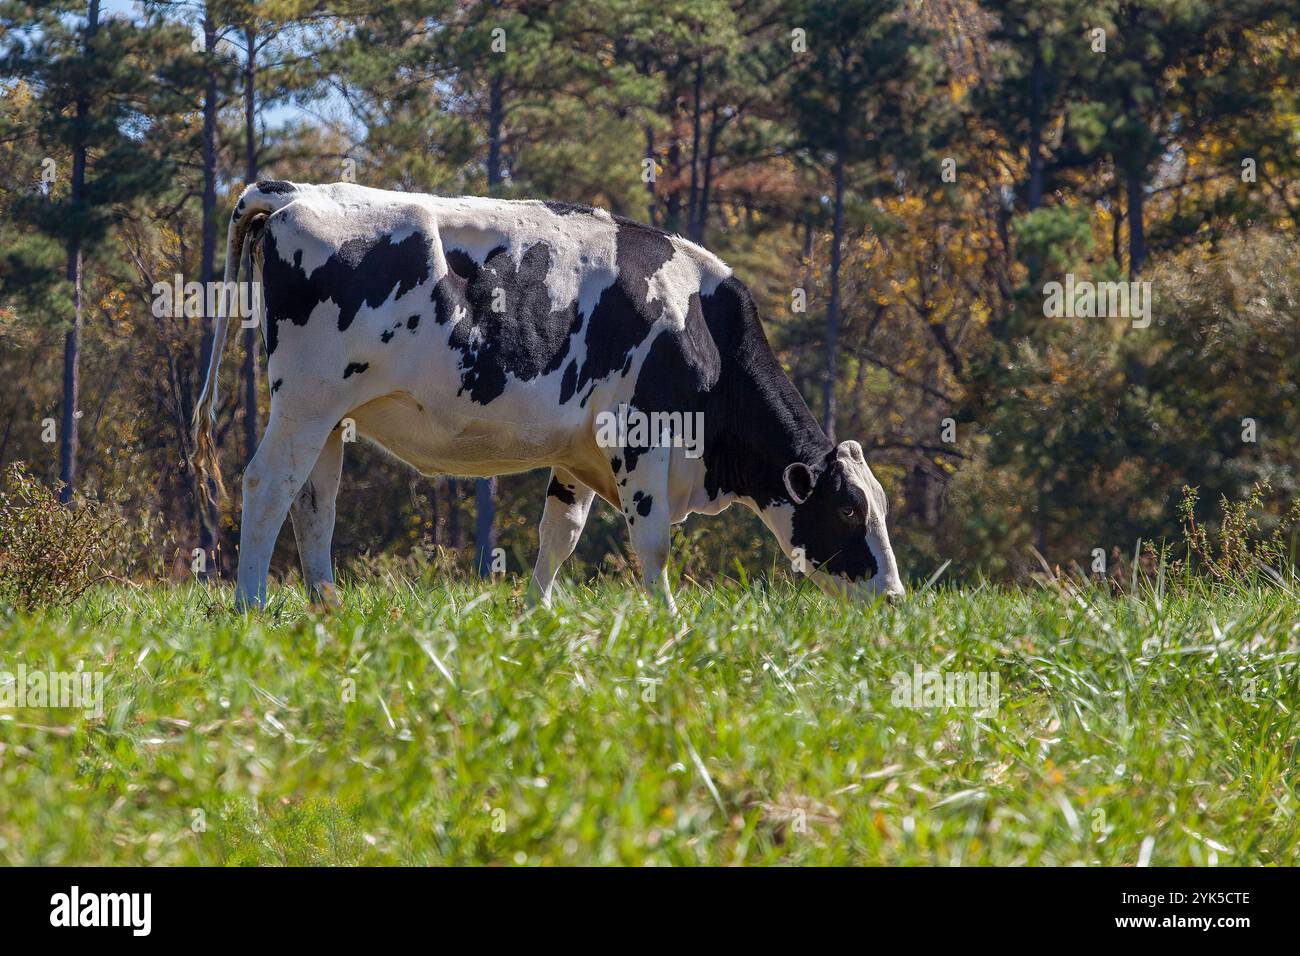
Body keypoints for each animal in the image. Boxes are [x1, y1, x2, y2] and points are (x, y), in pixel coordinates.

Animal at [191, 181, 904, 612]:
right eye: (848, 510)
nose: (896, 597)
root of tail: (296, 193)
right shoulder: (640, 437)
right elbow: (652, 543)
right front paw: (668, 620)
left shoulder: (576, 450)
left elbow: (558, 535)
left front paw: (536, 613)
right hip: (304, 402)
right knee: (267, 487)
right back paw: (251, 605)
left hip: (331, 415)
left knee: (315, 502)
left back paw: (329, 608)